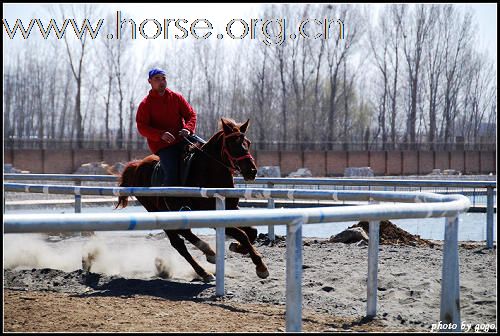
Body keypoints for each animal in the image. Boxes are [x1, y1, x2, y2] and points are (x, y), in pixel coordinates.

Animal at [114, 118, 268, 280]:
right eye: (232, 144)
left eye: (248, 143)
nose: (252, 171)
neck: (209, 173)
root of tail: (137, 166)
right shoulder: (212, 216)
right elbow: (242, 234)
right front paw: (260, 266)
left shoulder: (231, 209)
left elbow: (252, 232)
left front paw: (237, 247)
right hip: (157, 211)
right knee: (179, 243)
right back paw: (205, 269)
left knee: (184, 234)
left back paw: (209, 255)